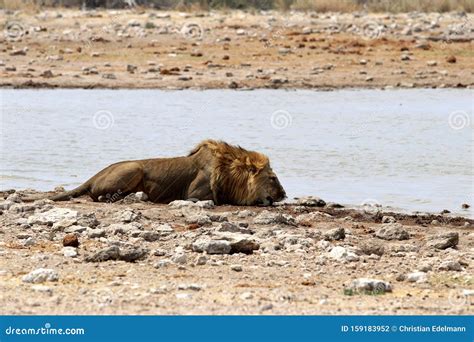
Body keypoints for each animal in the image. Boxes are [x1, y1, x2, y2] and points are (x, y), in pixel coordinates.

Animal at [47, 140, 286, 206]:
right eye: (273, 178)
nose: (284, 195)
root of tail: (95, 174)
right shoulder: (194, 194)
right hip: (134, 167)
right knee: (97, 196)